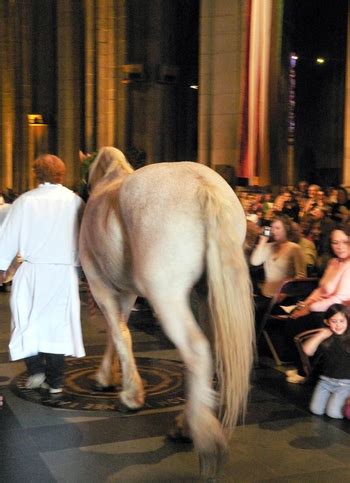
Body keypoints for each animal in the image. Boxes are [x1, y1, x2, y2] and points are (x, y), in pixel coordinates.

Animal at [79, 147, 254, 476]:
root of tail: (202, 185)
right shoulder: (126, 292)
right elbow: (118, 331)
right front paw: (111, 377)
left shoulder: (100, 285)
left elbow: (119, 334)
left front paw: (128, 394)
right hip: (206, 293)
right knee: (208, 350)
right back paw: (188, 423)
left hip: (166, 295)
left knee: (196, 349)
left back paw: (204, 441)